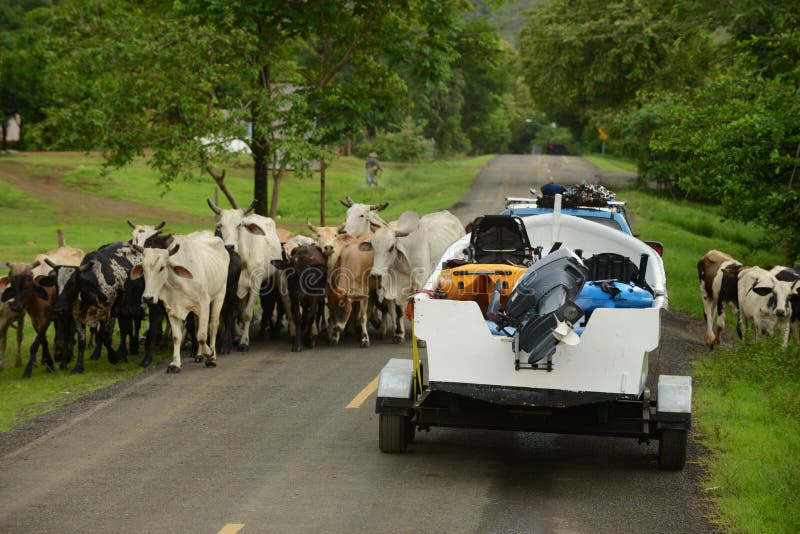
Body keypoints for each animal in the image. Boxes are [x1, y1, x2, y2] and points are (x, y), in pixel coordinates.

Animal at [130, 232, 227, 374]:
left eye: (162, 268)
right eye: (143, 268)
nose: (147, 298)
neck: (177, 283)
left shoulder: (204, 303)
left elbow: (202, 335)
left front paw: (209, 353)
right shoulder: (171, 307)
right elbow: (177, 336)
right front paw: (175, 364)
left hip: (219, 295)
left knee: (213, 326)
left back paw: (212, 357)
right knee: (197, 326)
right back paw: (199, 354)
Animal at [208, 198, 282, 352]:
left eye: (239, 225)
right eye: (221, 225)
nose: (229, 247)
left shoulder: (255, 284)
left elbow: (247, 314)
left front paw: (244, 342)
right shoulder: (232, 287)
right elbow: (232, 312)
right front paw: (234, 338)